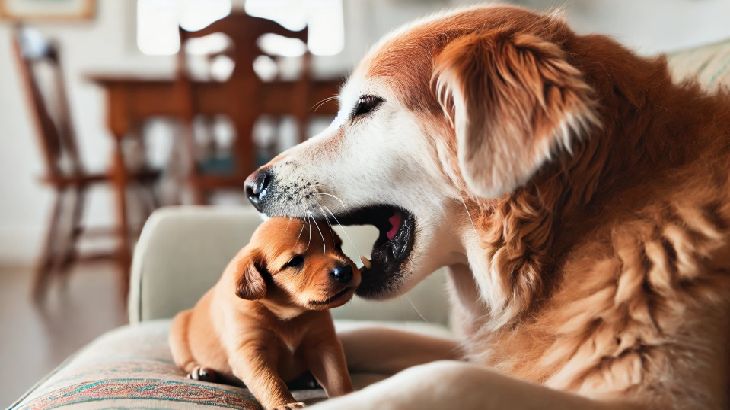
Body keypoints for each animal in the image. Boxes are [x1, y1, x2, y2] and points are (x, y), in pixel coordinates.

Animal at [166, 218, 358, 406]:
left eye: (337, 246)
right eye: (295, 261)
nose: (345, 270)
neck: (288, 315)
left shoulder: (323, 343)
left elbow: (337, 376)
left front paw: (346, 398)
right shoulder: (250, 350)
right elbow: (268, 380)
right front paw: (284, 403)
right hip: (178, 329)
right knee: (186, 361)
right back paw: (200, 371)